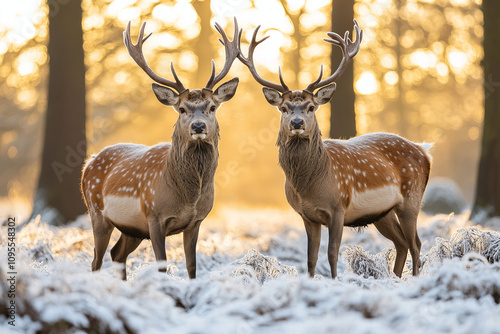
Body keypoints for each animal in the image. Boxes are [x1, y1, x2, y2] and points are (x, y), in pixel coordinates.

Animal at [81, 18, 241, 280]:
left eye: (212, 107)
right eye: (182, 109)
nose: (198, 126)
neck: (187, 196)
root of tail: (90, 162)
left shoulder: (196, 221)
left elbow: (192, 266)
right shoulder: (154, 216)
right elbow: (162, 265)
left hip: (131, 229)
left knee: (117, 254)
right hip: (96, 211)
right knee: (96, 260)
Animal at [236, 19, 432, 278]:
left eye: (311, 107)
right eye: (284, 108)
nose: (296, 123)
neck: (312, 184)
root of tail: (424, 150)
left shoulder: (339, 207)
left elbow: (332, 253)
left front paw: (335, 281)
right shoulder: (307, 215)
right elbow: (310, 257)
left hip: (411, 198)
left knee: (416, 243)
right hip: (384, 212)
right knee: (401, 243)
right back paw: (395, 280)